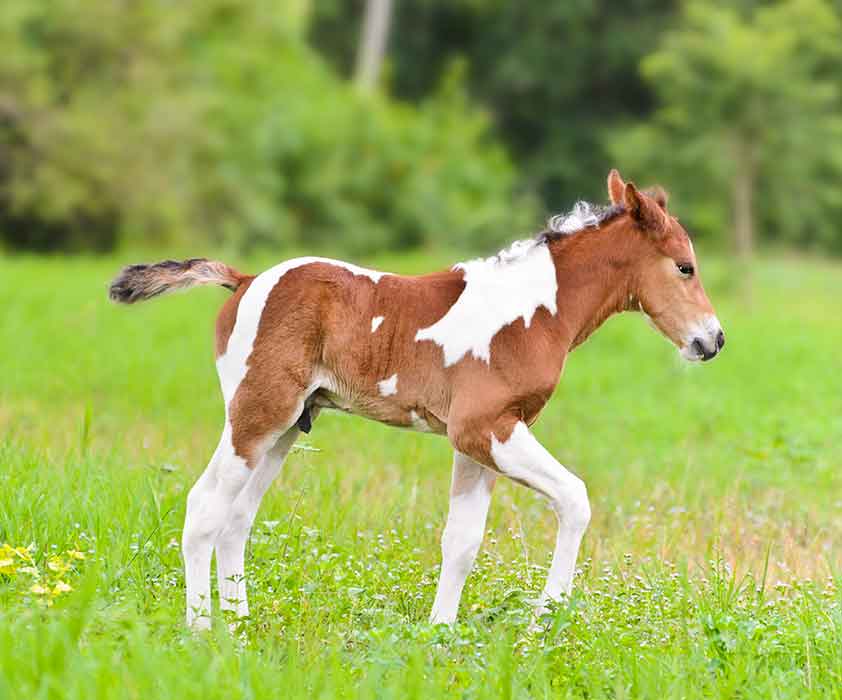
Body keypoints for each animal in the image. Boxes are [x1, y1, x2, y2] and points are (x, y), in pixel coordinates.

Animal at [110, 168, 720, 628]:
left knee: (237, 517)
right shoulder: (483, 428)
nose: (712, 340)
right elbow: (574, 498)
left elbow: (462, 541)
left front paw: (441, 635)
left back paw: (239, 628)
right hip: (257, 415)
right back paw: (203, 631)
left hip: (286, 427)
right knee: (205, 507)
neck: (534, 311)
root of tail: (245, 279)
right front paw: (542, 623)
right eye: (684, 267)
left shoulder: (481, 440)